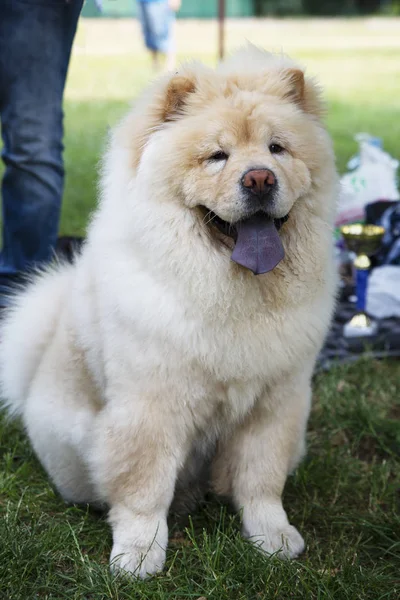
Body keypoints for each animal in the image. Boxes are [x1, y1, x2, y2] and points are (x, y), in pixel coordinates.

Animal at [0, 44, 338, 580]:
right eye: (217, 156)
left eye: (277, 149)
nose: (259, 178)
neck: (234, 289)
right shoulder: (152, 405)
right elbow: (144, 488)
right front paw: (137, 556)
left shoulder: (276, 401)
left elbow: (261, 479)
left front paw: (274, 539)